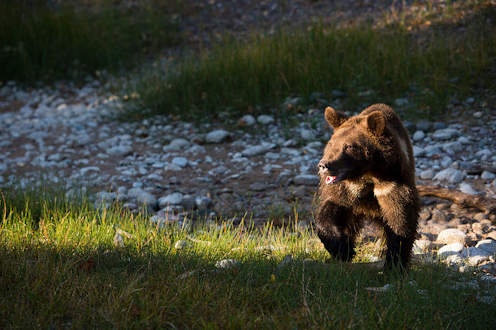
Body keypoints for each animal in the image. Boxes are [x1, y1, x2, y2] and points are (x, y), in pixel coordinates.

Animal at [318, 104, 418, 270]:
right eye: (331, 144)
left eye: (349, 146)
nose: (324, 165)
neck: (368, 175)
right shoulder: (346, 189)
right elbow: (331, 209)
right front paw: (343, 249)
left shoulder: (392, 184)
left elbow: (400, 218)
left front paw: (394, 263)